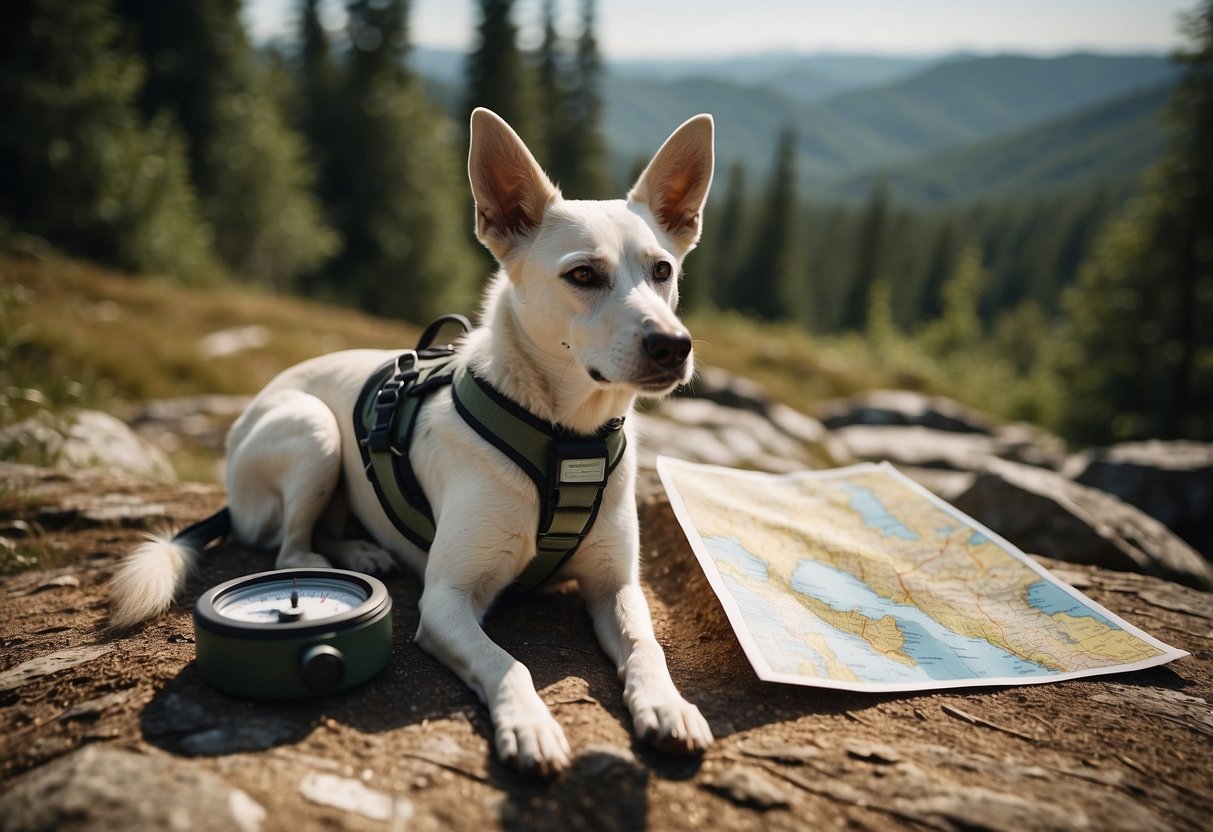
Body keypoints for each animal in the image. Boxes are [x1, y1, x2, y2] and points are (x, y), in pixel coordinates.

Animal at [110, 107, 713, 781]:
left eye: (662, 271)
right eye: (583, 274)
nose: (673, 345)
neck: (564, 437)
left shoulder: (618, 588)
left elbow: (646, 646)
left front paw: (667, 705)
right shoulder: (447, 600)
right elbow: (508, 663)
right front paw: (529, 725)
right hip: (314, 431)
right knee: (284, 542)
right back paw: (340, 557)